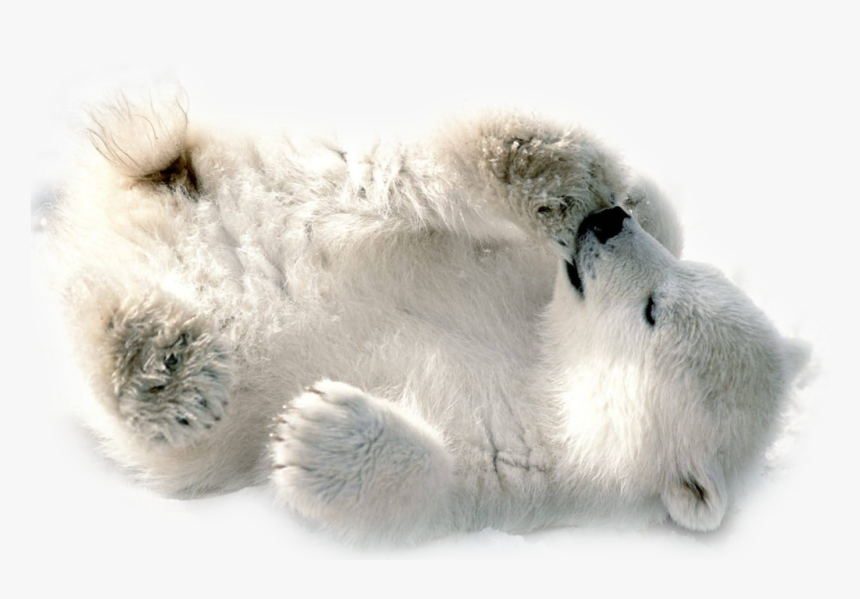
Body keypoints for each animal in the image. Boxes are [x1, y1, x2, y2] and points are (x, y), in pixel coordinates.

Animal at [46, 86, 809, 545]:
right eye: (689, 278)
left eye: (654, 311)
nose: (606, 224)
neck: (545, 367)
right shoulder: (522, 280)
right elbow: (645, 217)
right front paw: (619, 194)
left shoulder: (525, 476)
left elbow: (422, 494)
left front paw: (317, 432)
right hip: (301, 181)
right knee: (391, 178)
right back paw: (538, 163)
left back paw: (161, 364)